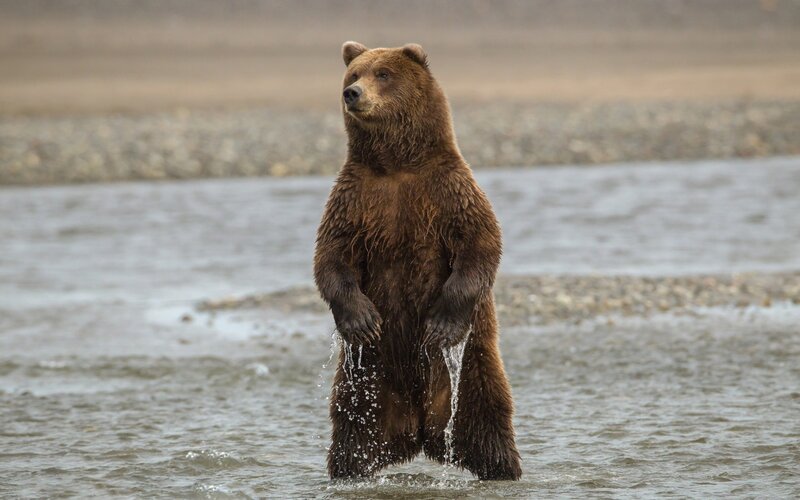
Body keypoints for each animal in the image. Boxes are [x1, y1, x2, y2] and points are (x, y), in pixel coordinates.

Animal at [313, 41, 521, 481]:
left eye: (383, 74)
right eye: (354, 73)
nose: (352, 93)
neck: (396, 165)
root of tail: (420, 431)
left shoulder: (449, 191)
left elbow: (480, 244)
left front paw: (441, 325)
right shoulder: (355, 200)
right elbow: (332, 257)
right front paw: (361, 320)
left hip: (472, 365)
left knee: (487, 418)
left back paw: (503, 469)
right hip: (367, 380)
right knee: (352, 429)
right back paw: (349, 471)